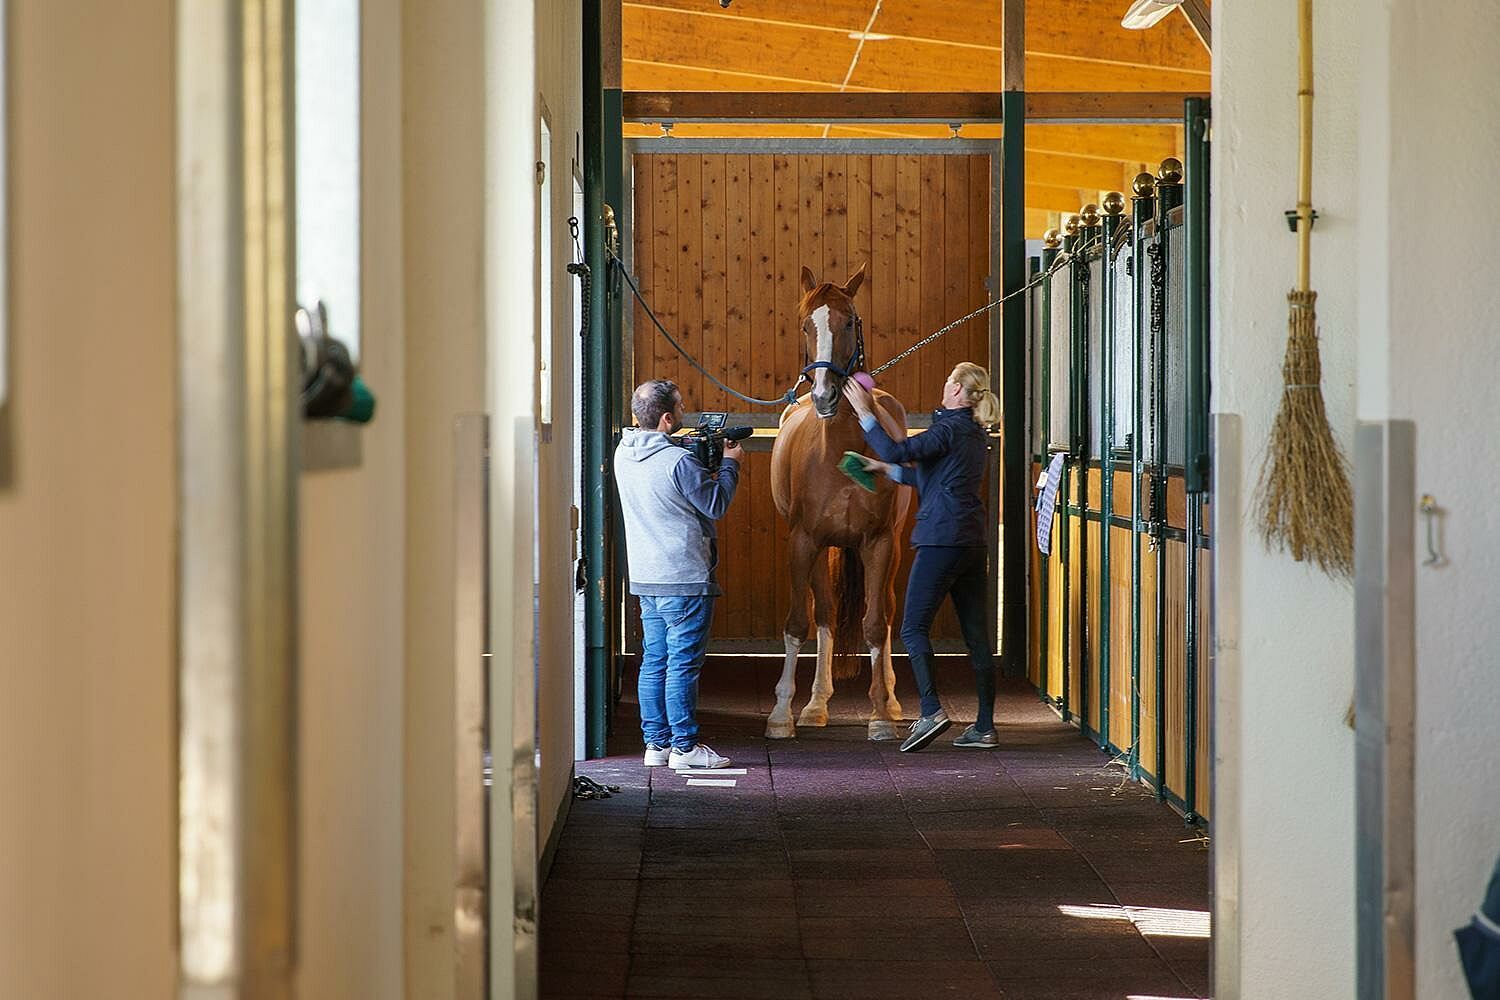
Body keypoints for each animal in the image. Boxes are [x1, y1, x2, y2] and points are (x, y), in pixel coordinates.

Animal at [765, 263, 914, 741]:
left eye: (849, 322)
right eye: (805, 325)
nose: (825, 395)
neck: (838, 452)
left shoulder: (878, 543)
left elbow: (874, 624)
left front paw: (880, 714)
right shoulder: (803, 541)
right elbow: (800, 622)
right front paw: (782, 715)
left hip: (890, 548)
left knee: (886, 610)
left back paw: (890, 698)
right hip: (822, 549)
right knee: (827, 615)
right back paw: (815, 705)